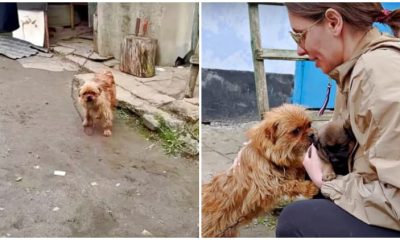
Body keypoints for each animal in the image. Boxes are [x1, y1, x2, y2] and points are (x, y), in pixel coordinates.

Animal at [203, 104, 318, 237]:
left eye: (309, 125)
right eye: (295, 131)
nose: (312, 134)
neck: (268, 156)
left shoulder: (289, 169)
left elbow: (298, 168)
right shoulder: (265, 187)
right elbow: (289, 184)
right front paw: (309, 188)